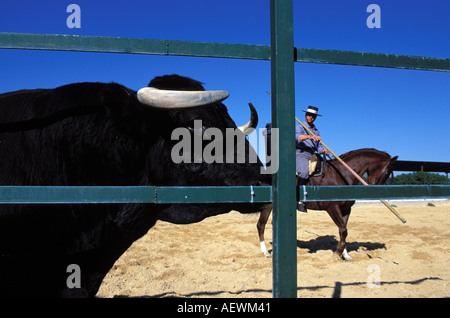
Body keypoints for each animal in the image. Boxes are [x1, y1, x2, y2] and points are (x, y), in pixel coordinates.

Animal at [256, 149, 398, 260]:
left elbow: (343, 231)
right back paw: (265, 252)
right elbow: (343, 230)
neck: (341, 175)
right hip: (268, 205)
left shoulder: (346, 209)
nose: (376, 190)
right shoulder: (332, 208)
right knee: (261, 225)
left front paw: (345, 254)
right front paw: (338, 253)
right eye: (387, 172)